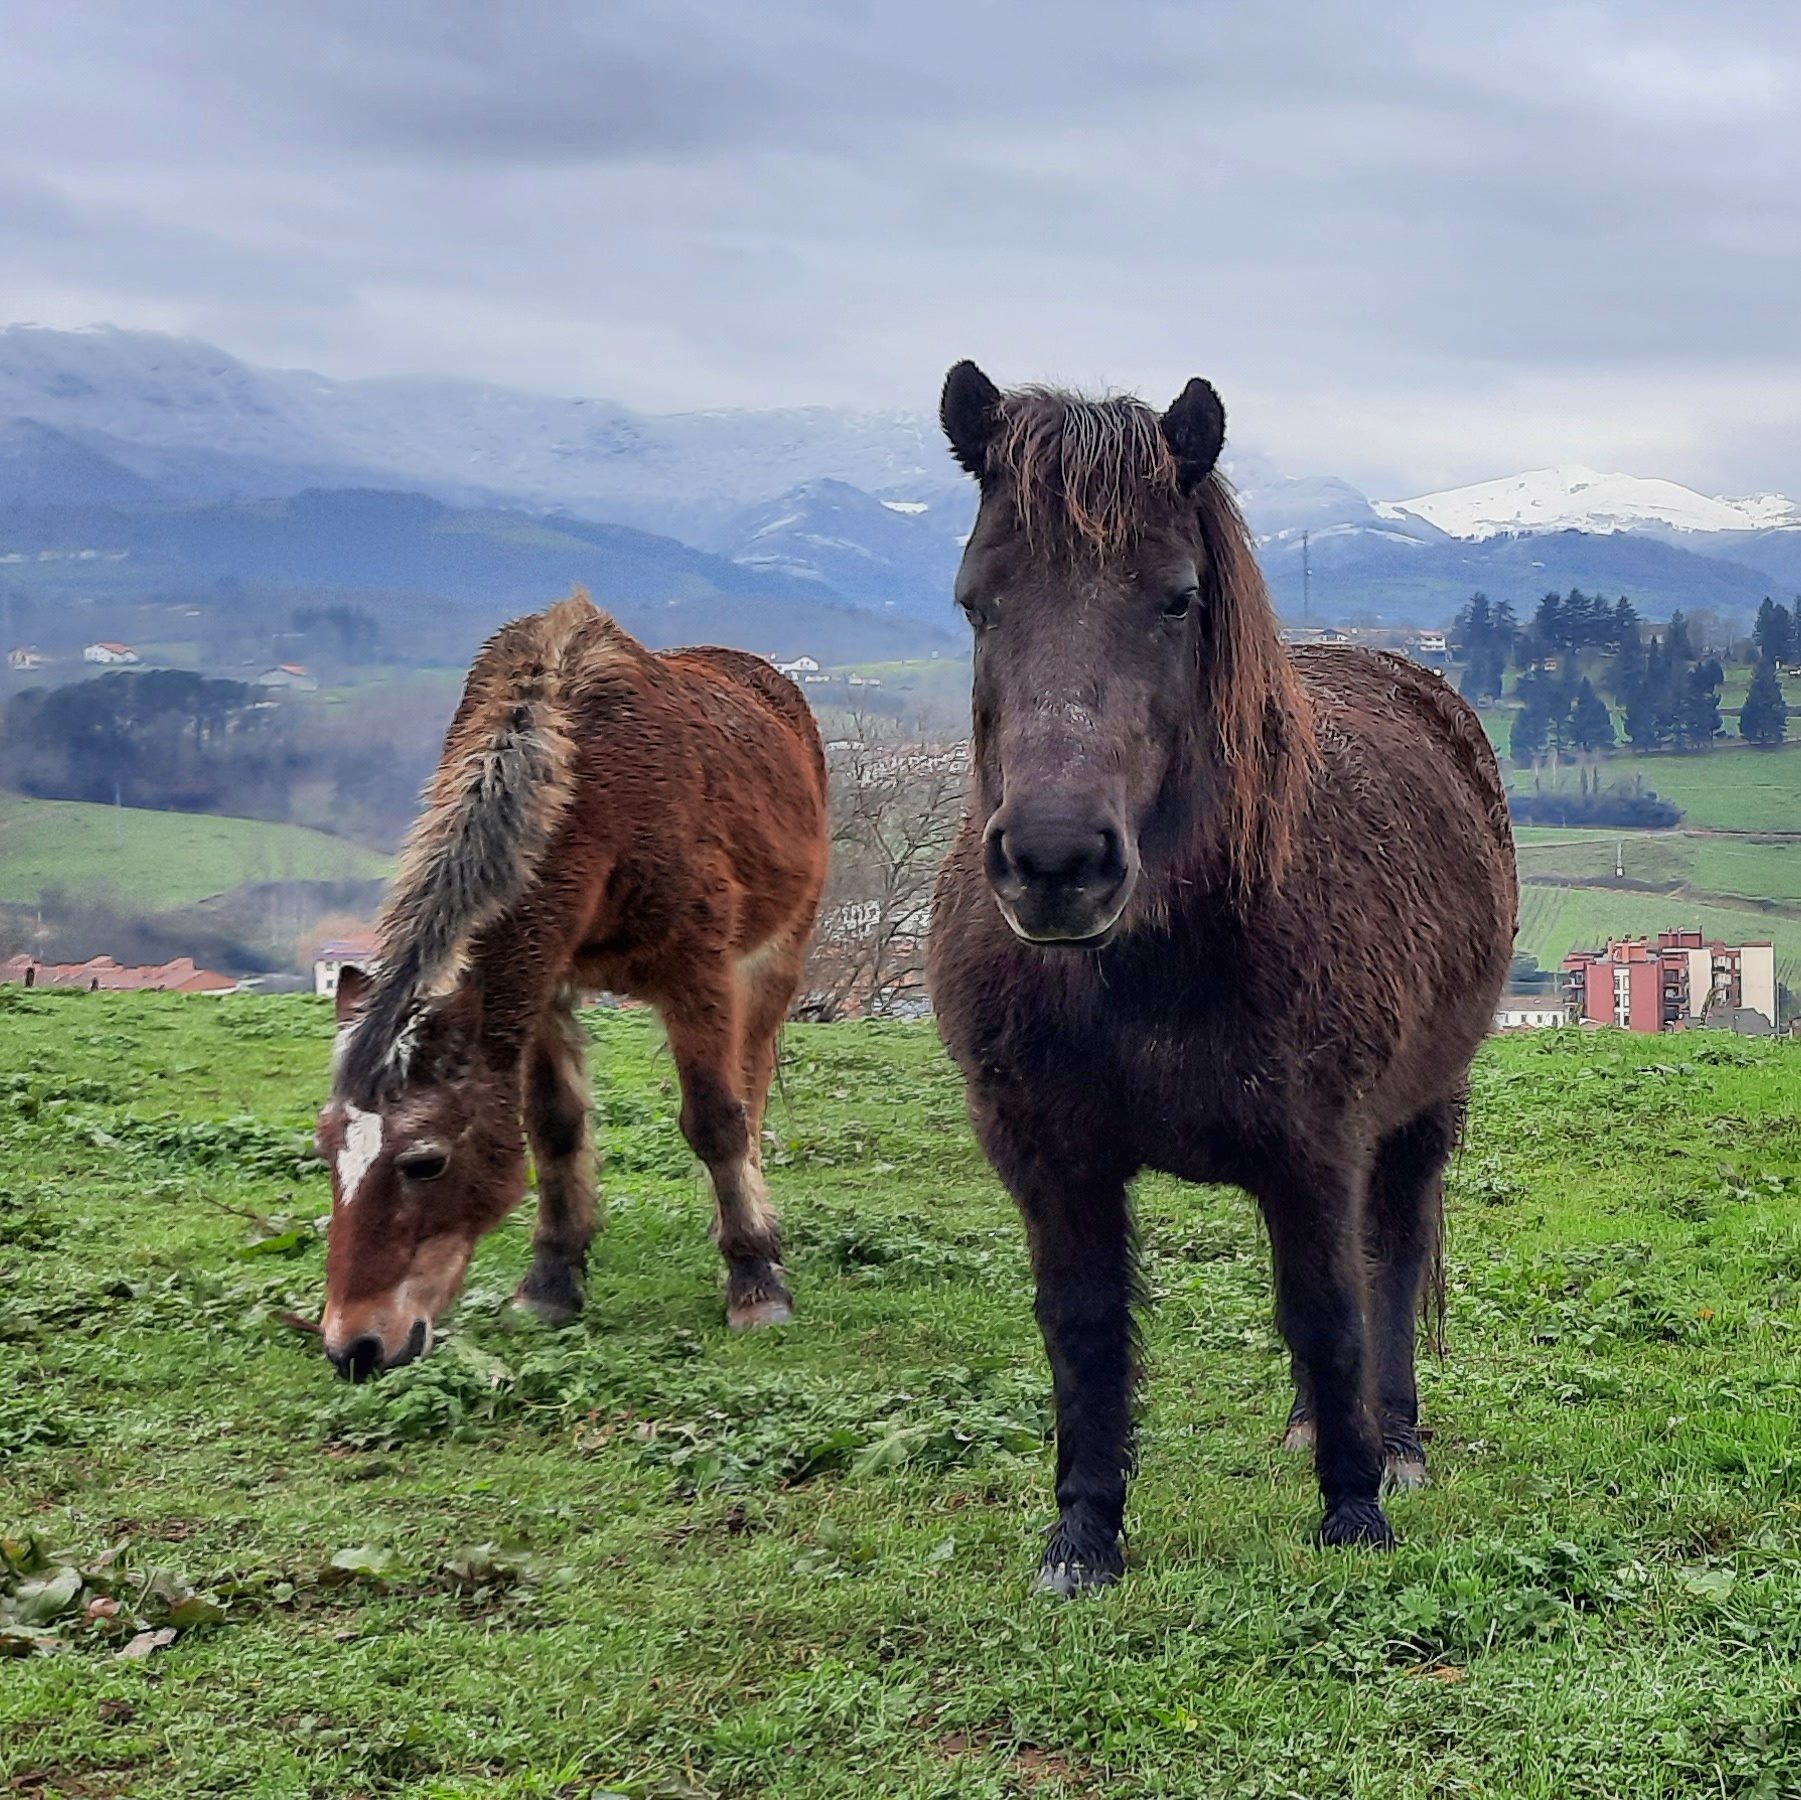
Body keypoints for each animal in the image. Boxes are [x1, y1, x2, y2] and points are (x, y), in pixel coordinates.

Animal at [318, 594, 828, 1376]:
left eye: (425, 1162)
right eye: (325, 1152)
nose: (355, 1347)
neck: (589, 788)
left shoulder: (699, 972)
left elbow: (716, 1120)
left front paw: (756, 1278)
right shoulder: (544, 983)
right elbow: (554, 1128)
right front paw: (551, 1283)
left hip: (777, 953)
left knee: (751, 1085)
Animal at [922, 362, 1512, 1592]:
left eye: (1176, 600)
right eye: (977, 600)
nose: (1056, 863)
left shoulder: (1319, 1146)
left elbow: (1331, 1310)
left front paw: (1353, 1510)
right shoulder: (1050, 1160)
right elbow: (1085, 1335)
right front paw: (1082, 1537)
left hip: (1421, 1110)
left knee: (1389, 1257)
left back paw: (1393, 1441)